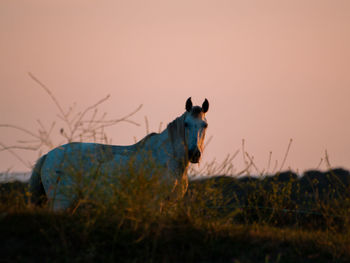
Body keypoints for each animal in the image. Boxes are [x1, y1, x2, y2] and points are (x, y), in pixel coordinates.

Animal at [29, 98, 208, 211]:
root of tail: (48, 156)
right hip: (61, 202)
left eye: (204, 125)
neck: (167, 157)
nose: (194, 154)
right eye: (186, 124)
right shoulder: (155, 203)